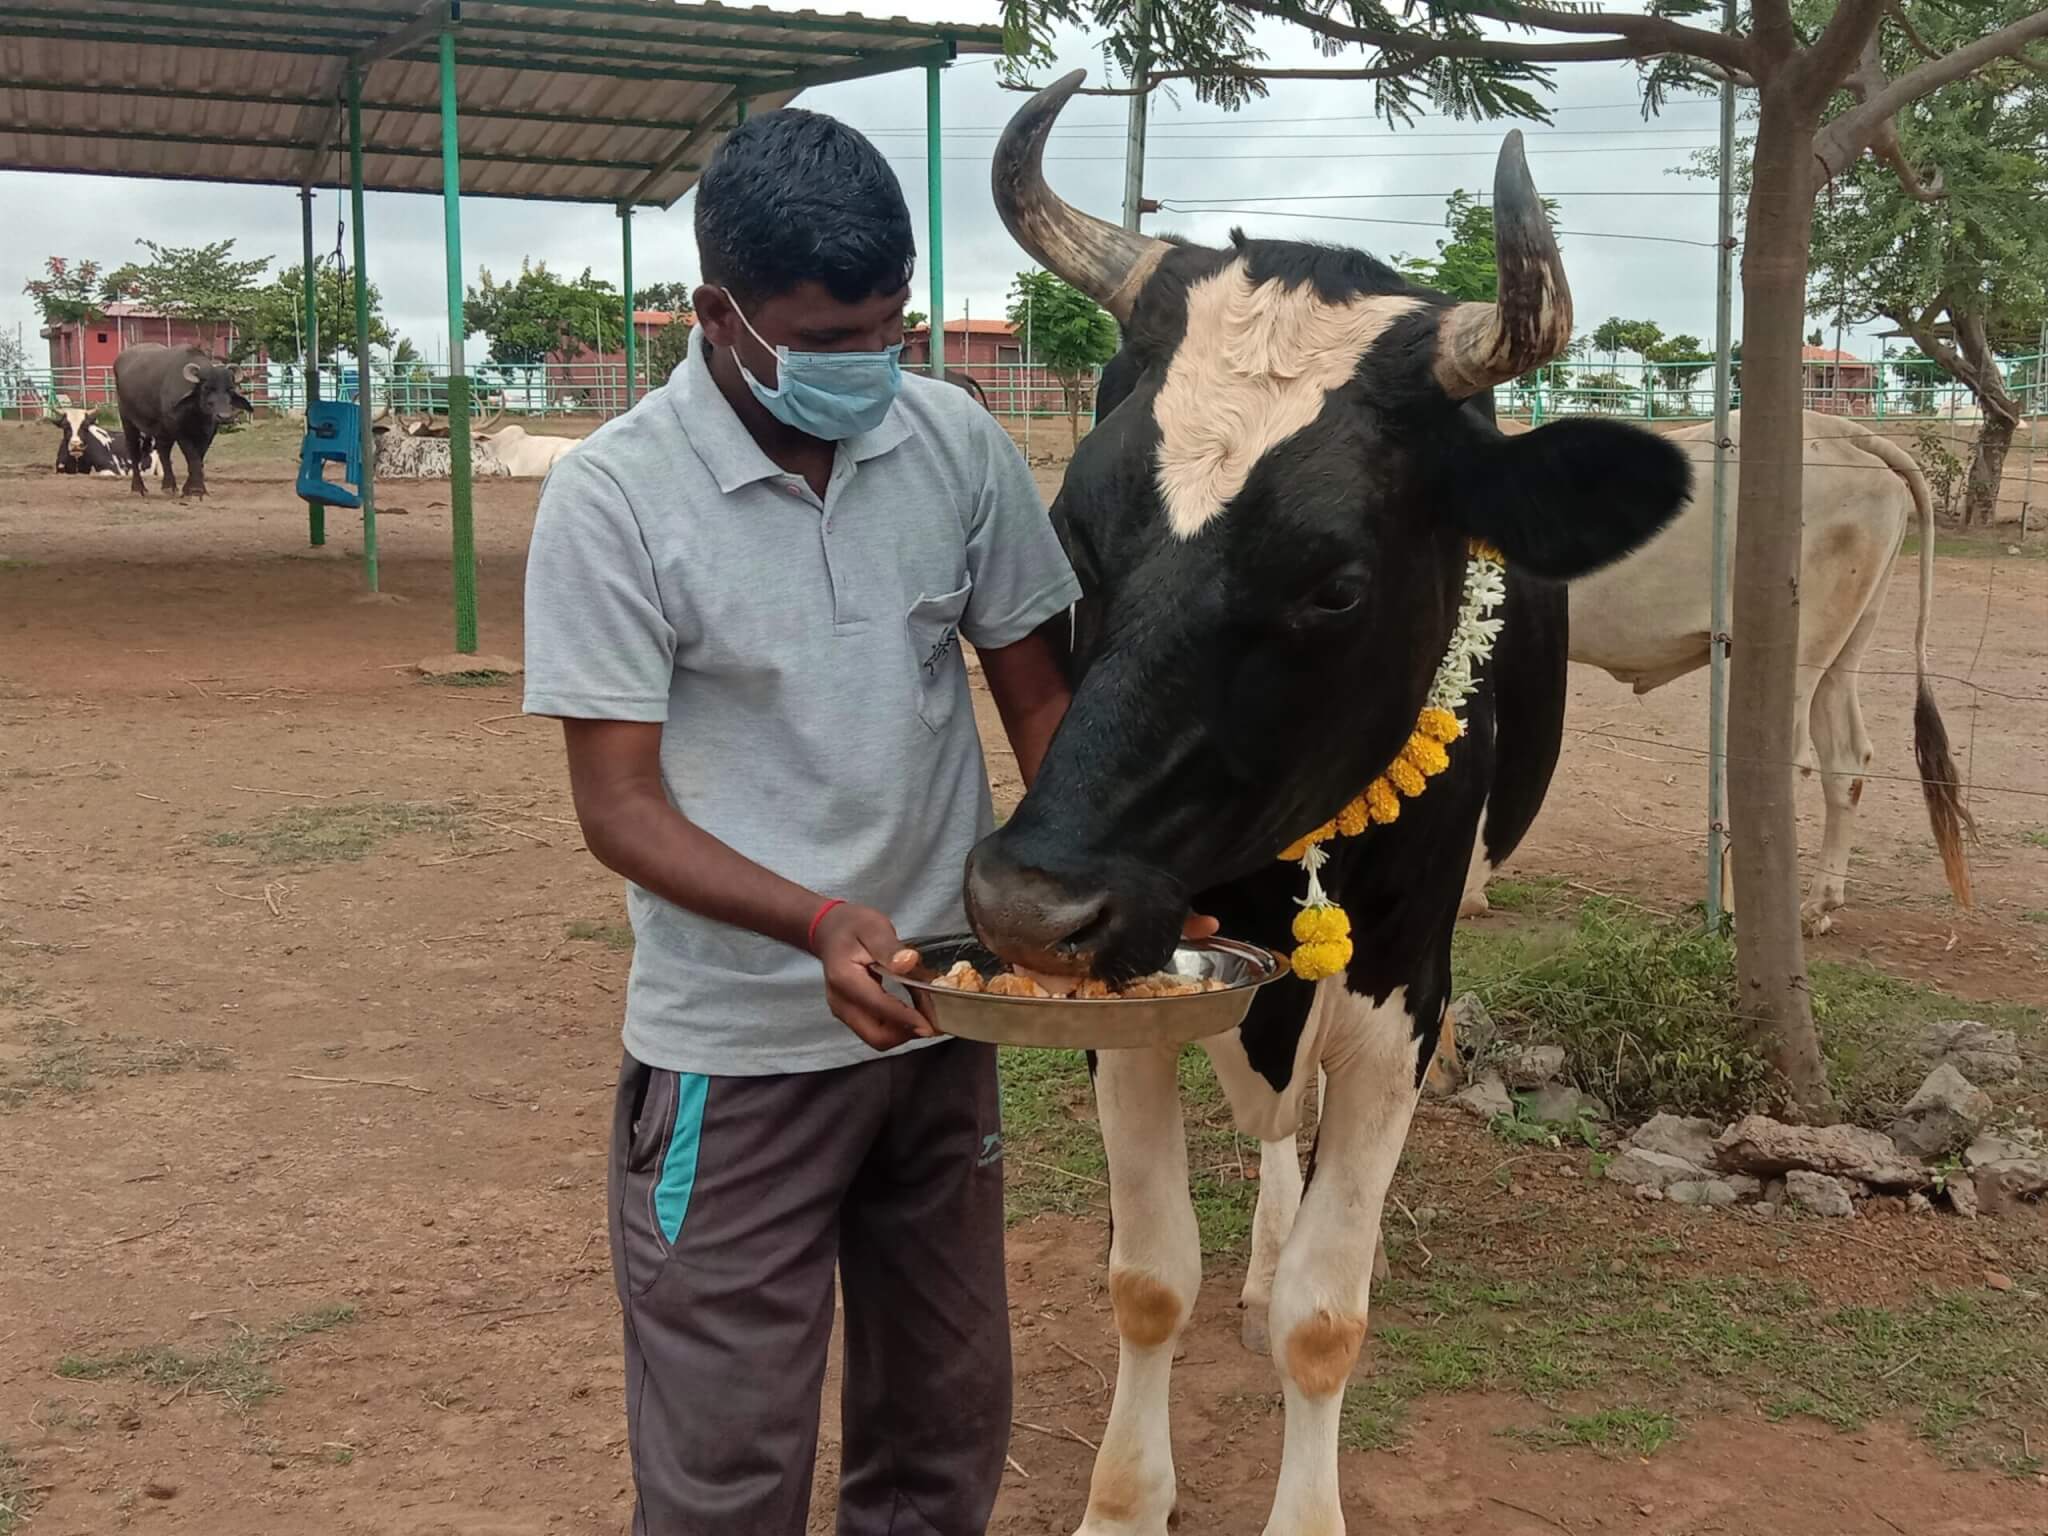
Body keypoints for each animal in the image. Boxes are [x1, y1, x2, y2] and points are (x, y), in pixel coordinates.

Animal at [112, 342, 251, 499]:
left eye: (230, 389)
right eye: (206, 388)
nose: (224, 416)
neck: (196, 413)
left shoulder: (208, 433)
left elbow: (199, 457)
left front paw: (190, 488)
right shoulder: (180, 432)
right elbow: (192, 456)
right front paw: (196, 490)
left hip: (161, 429)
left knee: (163, 452)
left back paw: (169, 486)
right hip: (128, 421)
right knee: (134, 452)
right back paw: (138, 488)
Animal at [966, 72, 1687, 1536]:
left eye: (1334, 584)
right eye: (1075, 530)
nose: (1027, 904)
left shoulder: (1398, 1000)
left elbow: (1322, 1318)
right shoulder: (1132, 994)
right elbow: (1148, 1277)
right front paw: (1125, 1499)